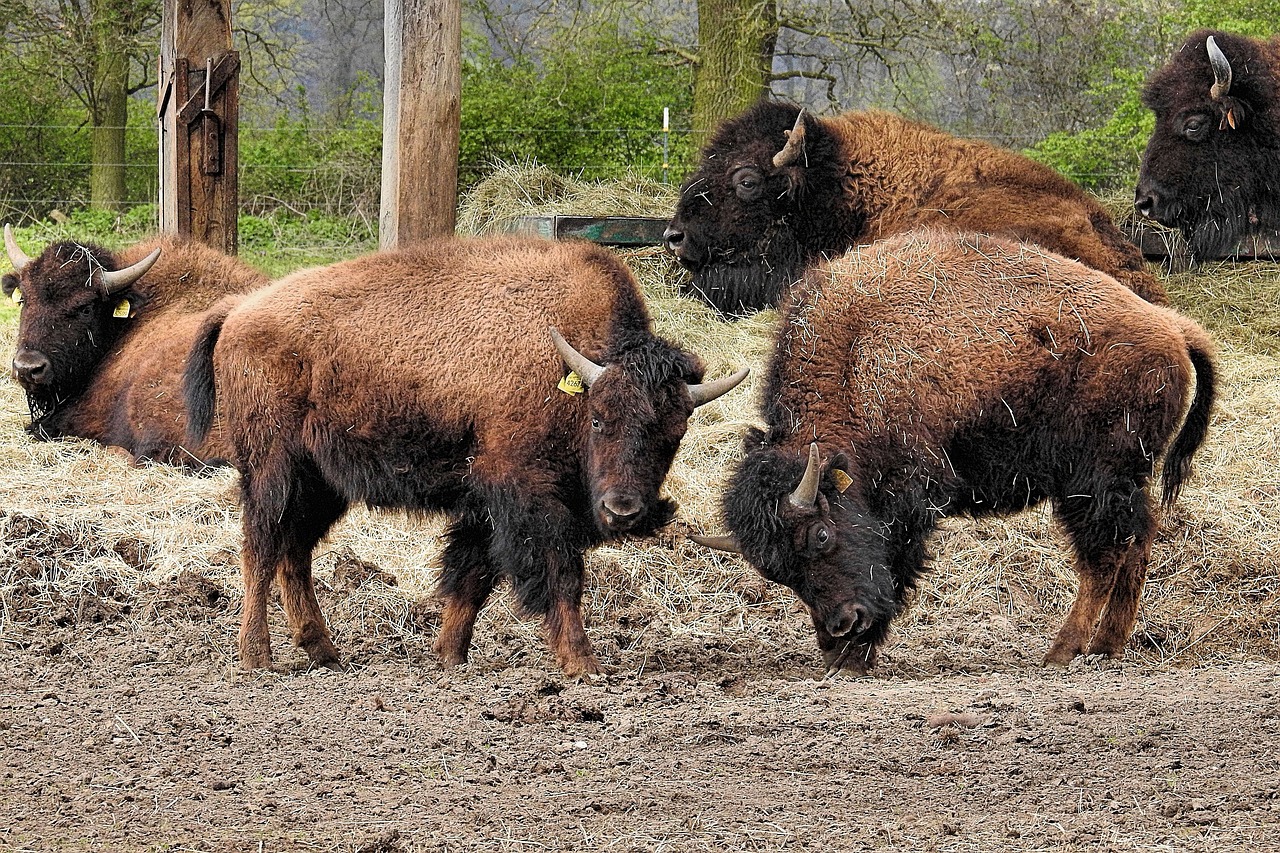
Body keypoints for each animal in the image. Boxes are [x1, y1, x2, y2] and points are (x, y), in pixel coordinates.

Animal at [185, 235, 752, 676]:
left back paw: (325, 652)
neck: (570, 371)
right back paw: (256, 657)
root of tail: (238, 311)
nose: (624, 511)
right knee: (260, 547)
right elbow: (558, 572)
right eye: (598, 419)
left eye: (675, 434)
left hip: (322, 481)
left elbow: (470, 578)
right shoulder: (526, 494)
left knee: (294, 551)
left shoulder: (483, 503)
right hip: (272, 468)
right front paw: (581, 663)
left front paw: (449, 656)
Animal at [696, 229, 1213, 676]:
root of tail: (1174, 329)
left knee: (1105, 556)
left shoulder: (908, 500)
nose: (842, 625)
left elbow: (898, 565)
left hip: (1092, 481)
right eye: (776, 572)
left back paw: (1061, 652)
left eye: (821, 535)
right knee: (1137, 541)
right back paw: (1107, 646)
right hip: (1123, 480)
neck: (853, 362)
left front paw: (857, 656)